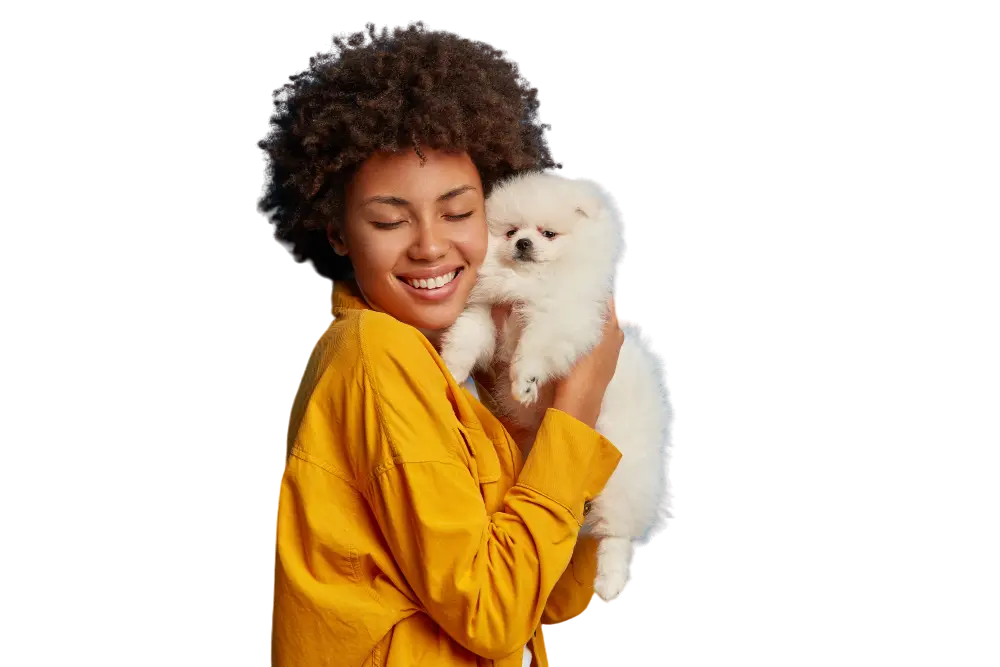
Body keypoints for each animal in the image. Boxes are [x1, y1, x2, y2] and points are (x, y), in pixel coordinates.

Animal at [442, 170, 676, 604]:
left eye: (548, 233)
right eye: (511, 231)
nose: (523, 243)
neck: (529, 283)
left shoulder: (563, 315)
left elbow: (535, 345)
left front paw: (524, 380)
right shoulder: (487, 311)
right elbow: (468, 335)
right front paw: (451, 365)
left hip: (623, 470)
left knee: (616, 533)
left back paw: (608, 581)